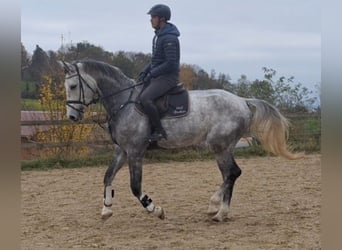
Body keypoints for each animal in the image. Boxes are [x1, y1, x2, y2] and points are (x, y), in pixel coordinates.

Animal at [58, 59, 300, 222]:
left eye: (73, 86)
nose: (72, 117)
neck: (124, 101)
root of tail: (242, 100)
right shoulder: (122, 151)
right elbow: (107, 176)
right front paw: (107, 208)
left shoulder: (135, 151)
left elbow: (135, 187)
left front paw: (155, 209)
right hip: (223, 148)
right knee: (229, 175)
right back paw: (218, 208)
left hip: (220, 146)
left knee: (232, 173)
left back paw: (218, 210)